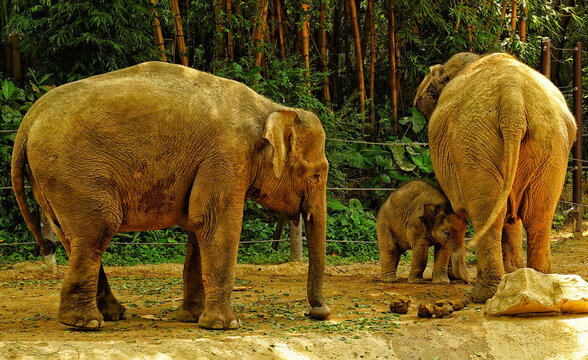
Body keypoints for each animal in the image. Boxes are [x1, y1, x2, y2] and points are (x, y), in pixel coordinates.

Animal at [10, 61, 330, 330]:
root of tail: (28, 120)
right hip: (73, 173)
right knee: (97, 229)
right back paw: (86, 323)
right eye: (316, 175)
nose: (318, 312)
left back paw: (111, 314)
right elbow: (217, 225)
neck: (270, 108)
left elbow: (198, 227)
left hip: (51, 183)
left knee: (74, 239)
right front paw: (225, 325)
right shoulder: (226, 156)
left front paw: (192, 318)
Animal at [416, 52, 576, 300]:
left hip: (472, 142)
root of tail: (513, 99)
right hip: (551, 143)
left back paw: (483, 295)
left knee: (488, 209)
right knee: (539, 212)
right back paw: (537, 284)